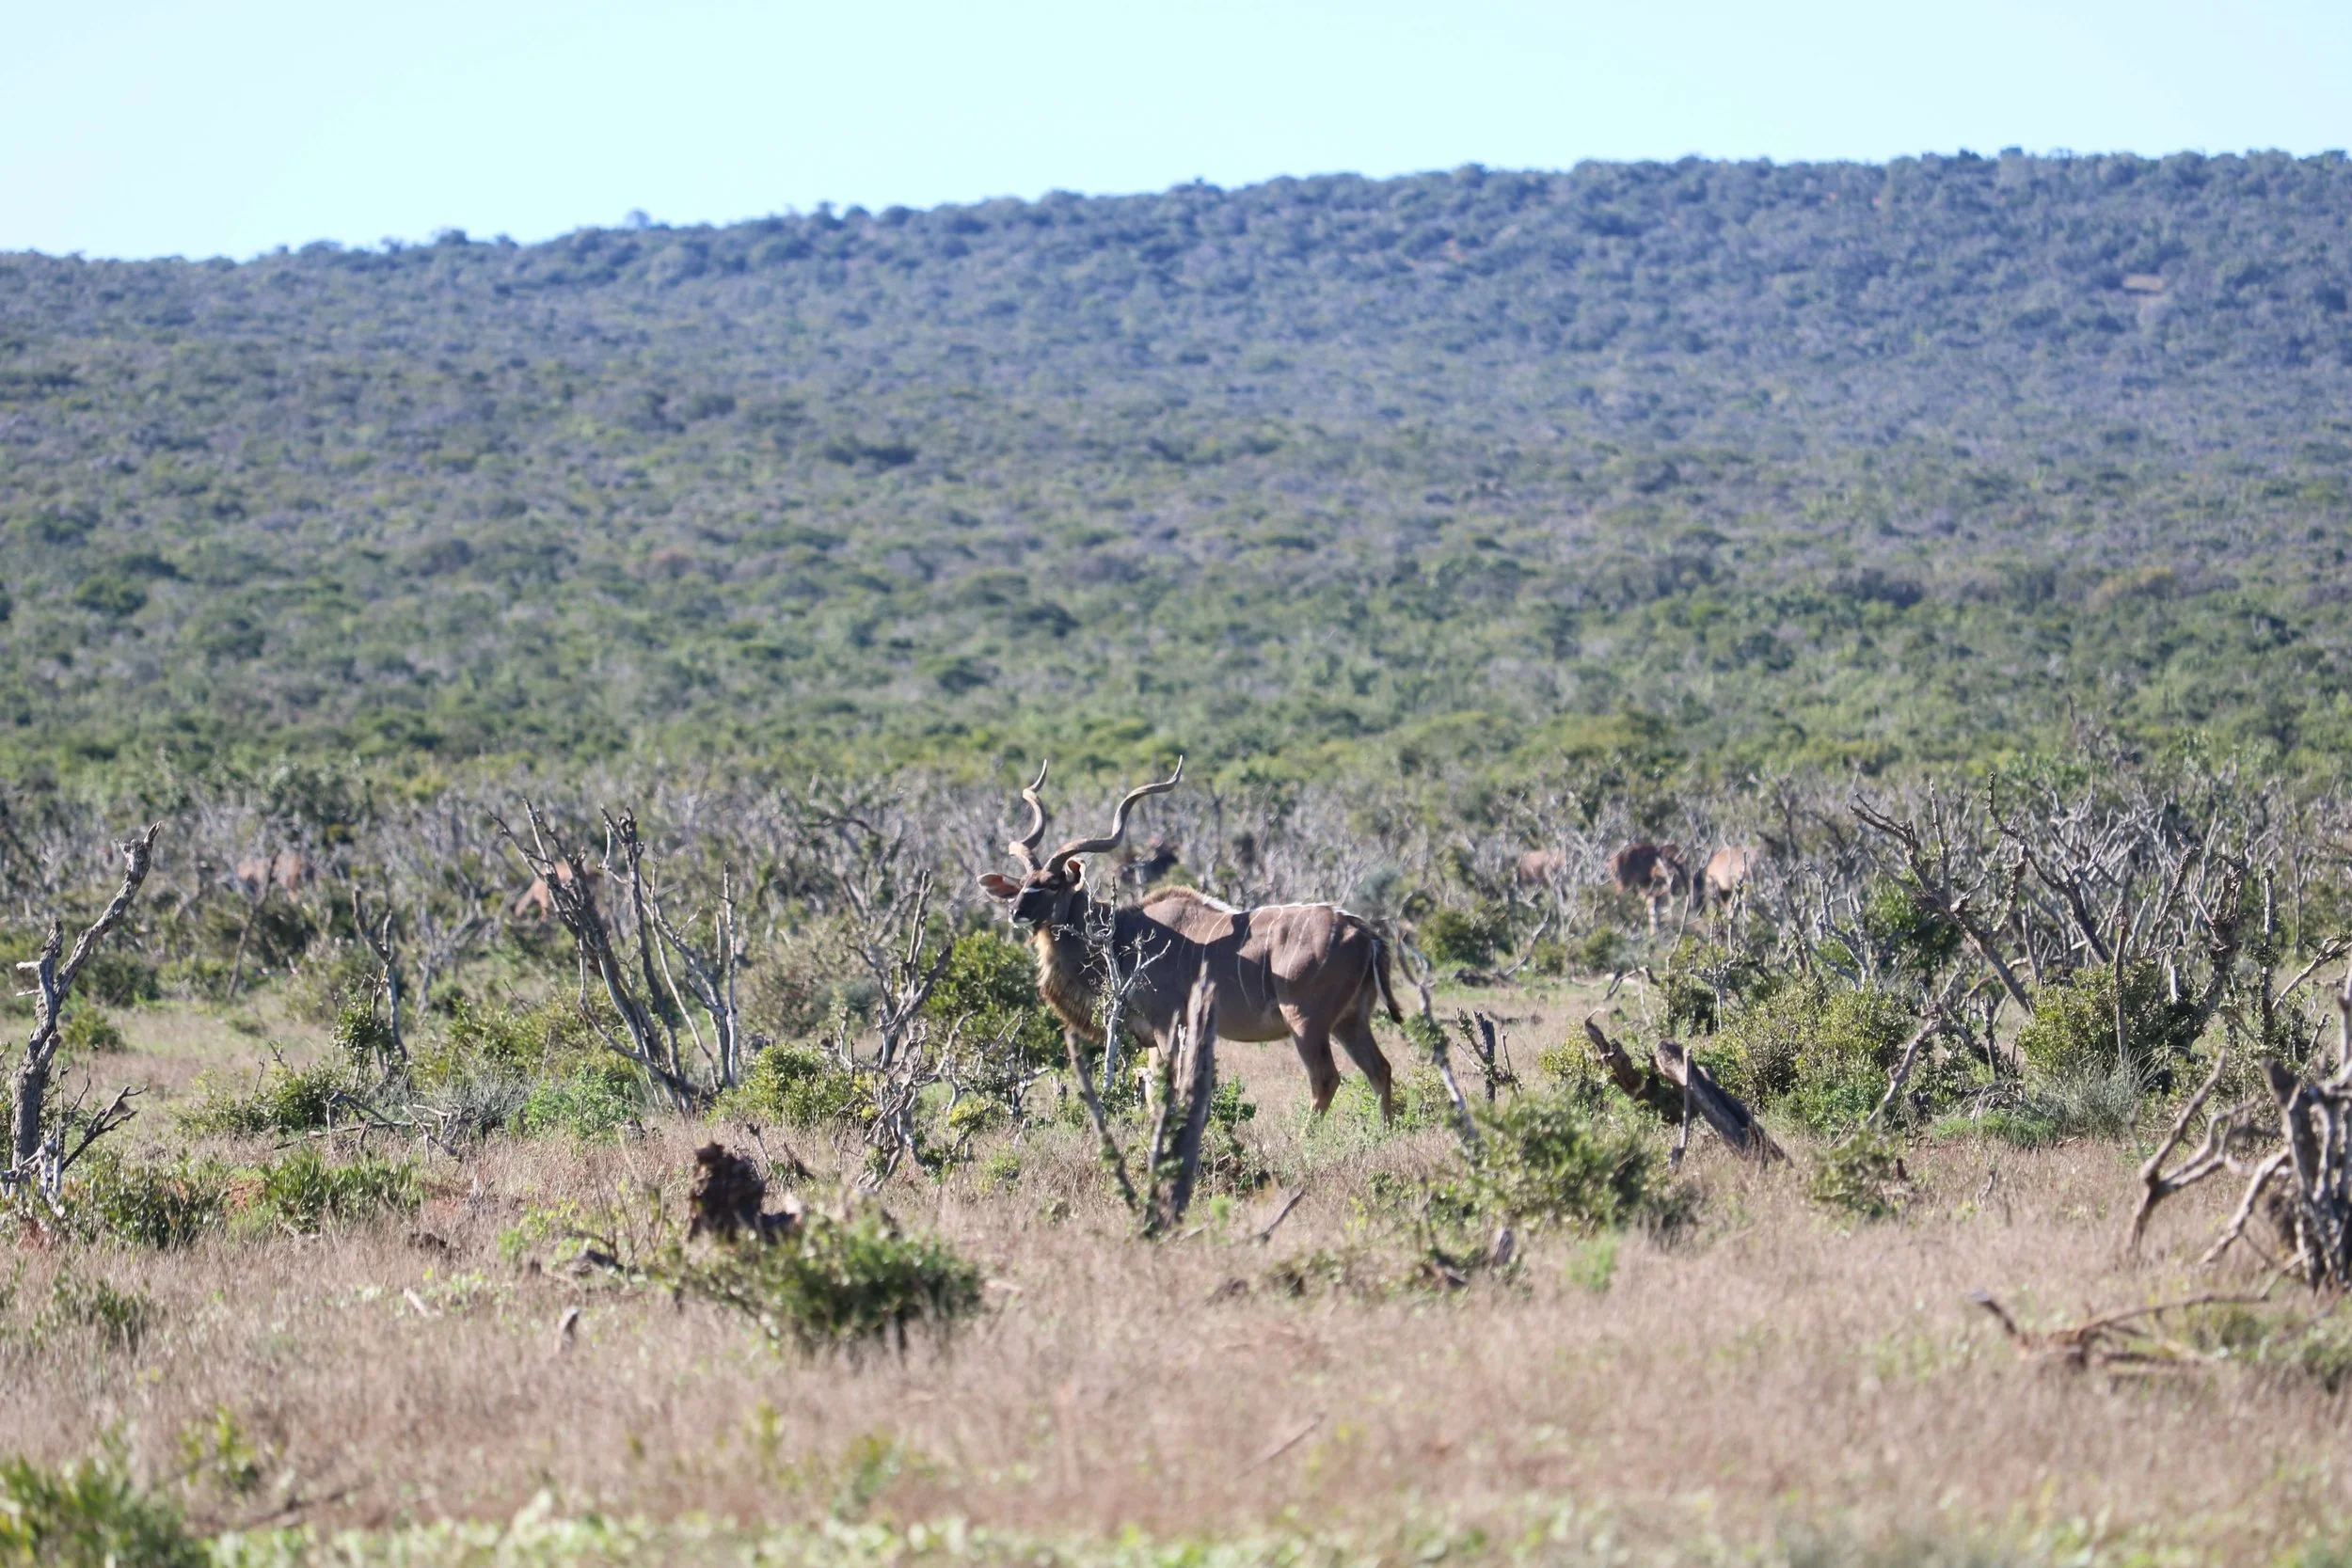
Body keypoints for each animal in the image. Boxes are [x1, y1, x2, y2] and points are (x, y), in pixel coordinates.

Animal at [978, 760, 1406, 1120]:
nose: (1016, 911)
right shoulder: (1156, 1037)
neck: (1122, 933)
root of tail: (1365, 932)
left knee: (1326, 1078)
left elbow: (1168, 1089)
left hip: (1306, 1021)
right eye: (1023, 883)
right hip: (1349, 1020)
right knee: (1380, 1069)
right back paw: (1383, 1132)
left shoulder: (1169, 1024)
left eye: (1052, 884)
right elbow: (1155, 1091)